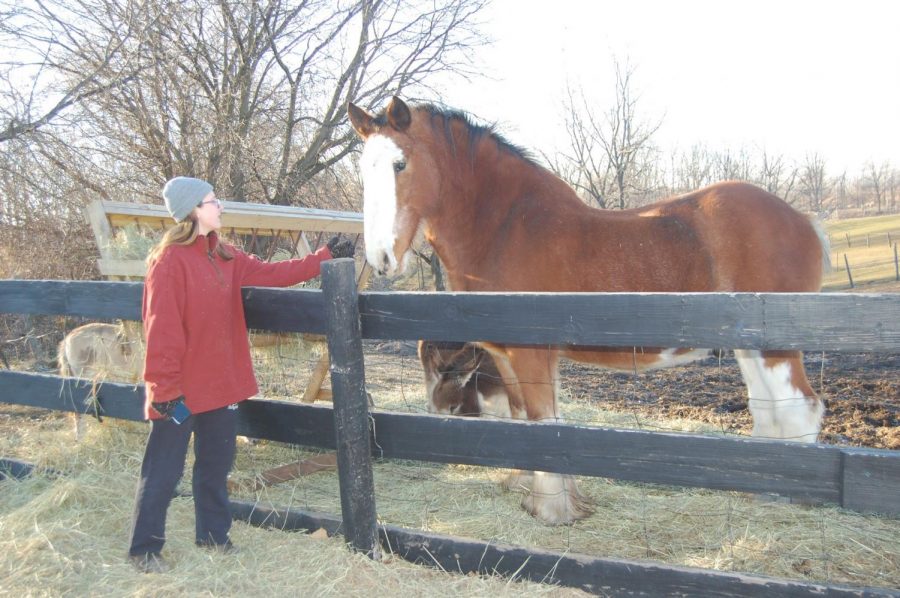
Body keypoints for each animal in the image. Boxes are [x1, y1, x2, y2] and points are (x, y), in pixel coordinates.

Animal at [346, 97, 828, 524]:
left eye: (400, 164)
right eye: (364, 171)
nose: (381, 257)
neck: (506, 228)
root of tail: (803, 220)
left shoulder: (532, 354)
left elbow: (543, 422)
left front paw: (552, 510)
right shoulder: (507, 357)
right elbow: (522, 419)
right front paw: (526, 488)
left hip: (776, 349)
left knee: (799, 407)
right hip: (749, 349)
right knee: (768, 407)